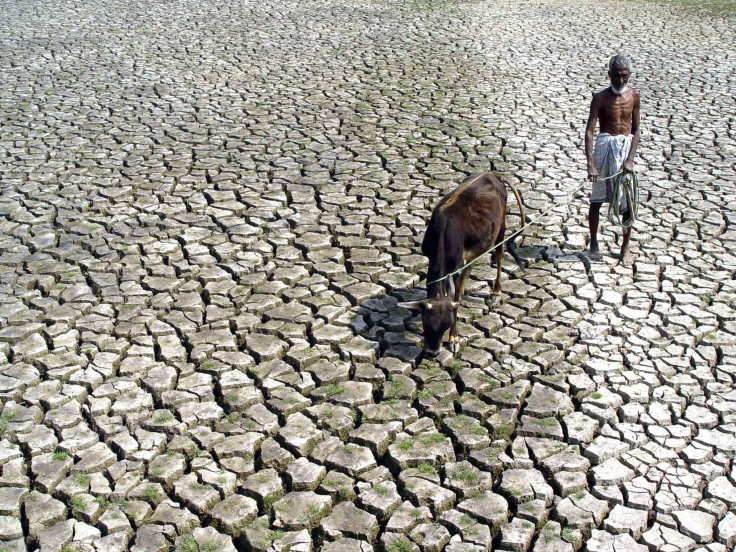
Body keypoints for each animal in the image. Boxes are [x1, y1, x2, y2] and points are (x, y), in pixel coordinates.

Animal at [400, 172, 528, 358]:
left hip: (501, 225)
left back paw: (496, 292)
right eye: (426, 324)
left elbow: (455, 299)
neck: (444, 233)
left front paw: (454, 339)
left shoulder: (456, 266)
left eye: (446, 326)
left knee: (499, 255)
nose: (433, 353)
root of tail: (494, 174)